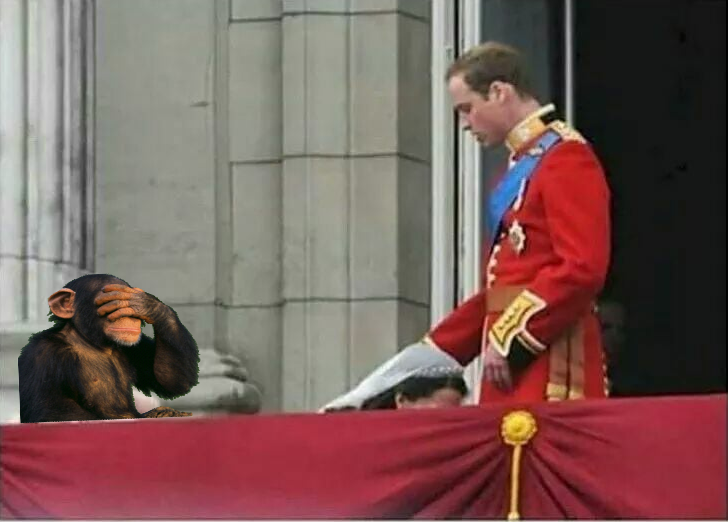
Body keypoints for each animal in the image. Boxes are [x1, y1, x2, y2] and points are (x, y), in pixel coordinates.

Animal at [18, 274, 200, 423]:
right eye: (110, 303)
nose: (130, 316)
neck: (93, 342)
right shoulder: (42, 352)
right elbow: (49, 410)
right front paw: (154, 414)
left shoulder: (137, 346)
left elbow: (171, 380)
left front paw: (144, 303)